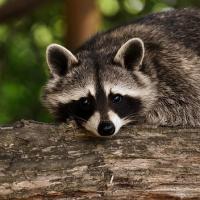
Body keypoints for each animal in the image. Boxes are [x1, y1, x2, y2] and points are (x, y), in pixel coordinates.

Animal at [41, 9, 200, 138]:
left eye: (117, 98)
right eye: (85, 101)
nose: (106, 128)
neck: (101, 48)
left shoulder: (176, 70)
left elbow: (187, 109)